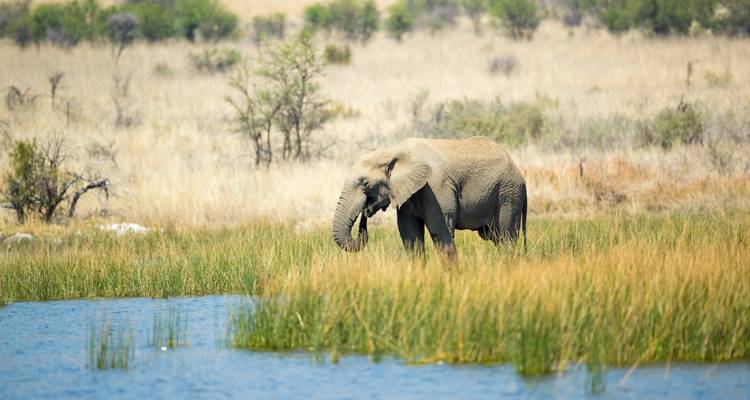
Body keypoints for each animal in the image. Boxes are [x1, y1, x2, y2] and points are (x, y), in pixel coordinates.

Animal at [332, 136, 527, 259]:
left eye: (365, 183)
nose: (364, 215)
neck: (394, 152)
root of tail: (520, 173)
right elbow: (409, 234)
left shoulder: (437, 188)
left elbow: (440, 232)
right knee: (495, 237)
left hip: (508, 195)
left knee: (506, 238)